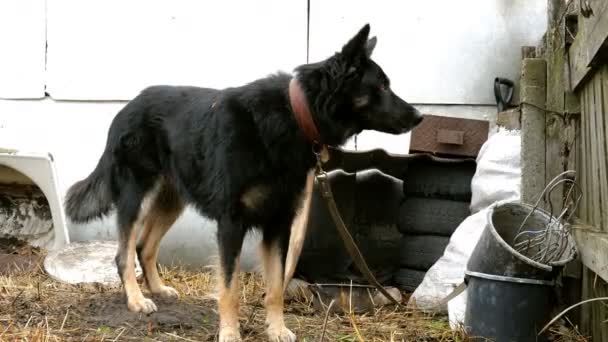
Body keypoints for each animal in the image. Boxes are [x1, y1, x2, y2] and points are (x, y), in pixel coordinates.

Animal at [63, 24, 422, 342]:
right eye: (381, 87)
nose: (419, 117)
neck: (295, 114)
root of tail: (127, 107)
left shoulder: (279, 225)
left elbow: (275, 288)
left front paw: (276, 330)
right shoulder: (231, 224)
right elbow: (230, 287)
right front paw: (230, 333)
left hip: (171, 199)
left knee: (144, 246)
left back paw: (158, 288)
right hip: (137, 196)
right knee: (123, 253)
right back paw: (137, 300)